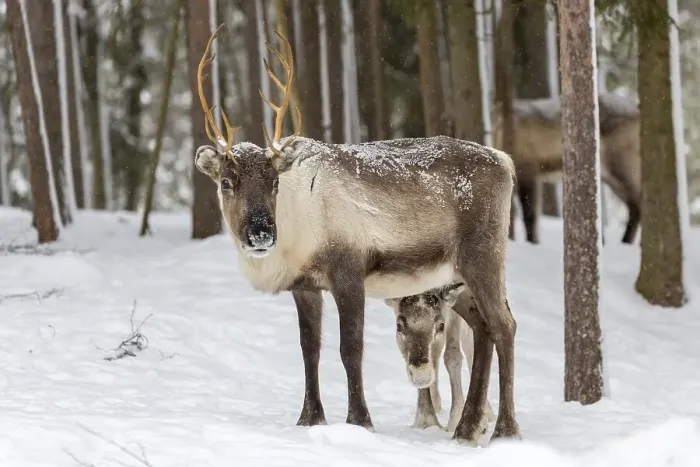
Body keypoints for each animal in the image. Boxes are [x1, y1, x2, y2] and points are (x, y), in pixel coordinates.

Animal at [385, 283, 496, 433]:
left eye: (440, 326)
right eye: (399, 326)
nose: (421, 375)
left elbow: (453, 355)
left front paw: (455, 420)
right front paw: (425, 422)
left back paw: (487, 415)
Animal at [492, 93, 641, 245]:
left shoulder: (528, 168)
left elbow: (530, 215)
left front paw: (532, 243)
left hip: (624, 164)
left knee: (638, 203)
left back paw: (626, 242)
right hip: (610, 176)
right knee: (634, 205)